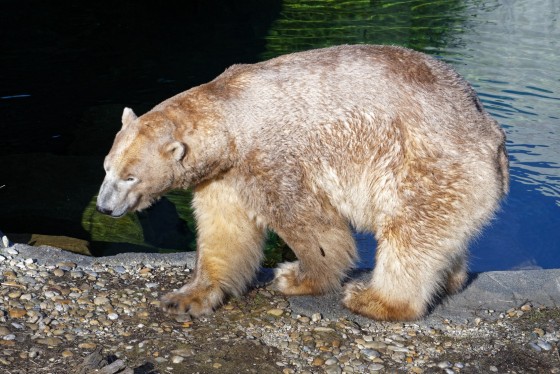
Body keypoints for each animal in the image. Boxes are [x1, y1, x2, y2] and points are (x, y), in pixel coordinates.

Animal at [97, 44, 512, 322]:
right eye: (106, 167)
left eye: (130, 176)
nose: (104, 206)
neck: (229, 115)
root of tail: (491, 137)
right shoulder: (223, 174)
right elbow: (224, 232)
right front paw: (186, 297)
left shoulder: (272, 158)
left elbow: (313, 227)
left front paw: (296, 278)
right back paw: (450, 281)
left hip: (429, 166)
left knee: (411, 235)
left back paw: (373, 300)